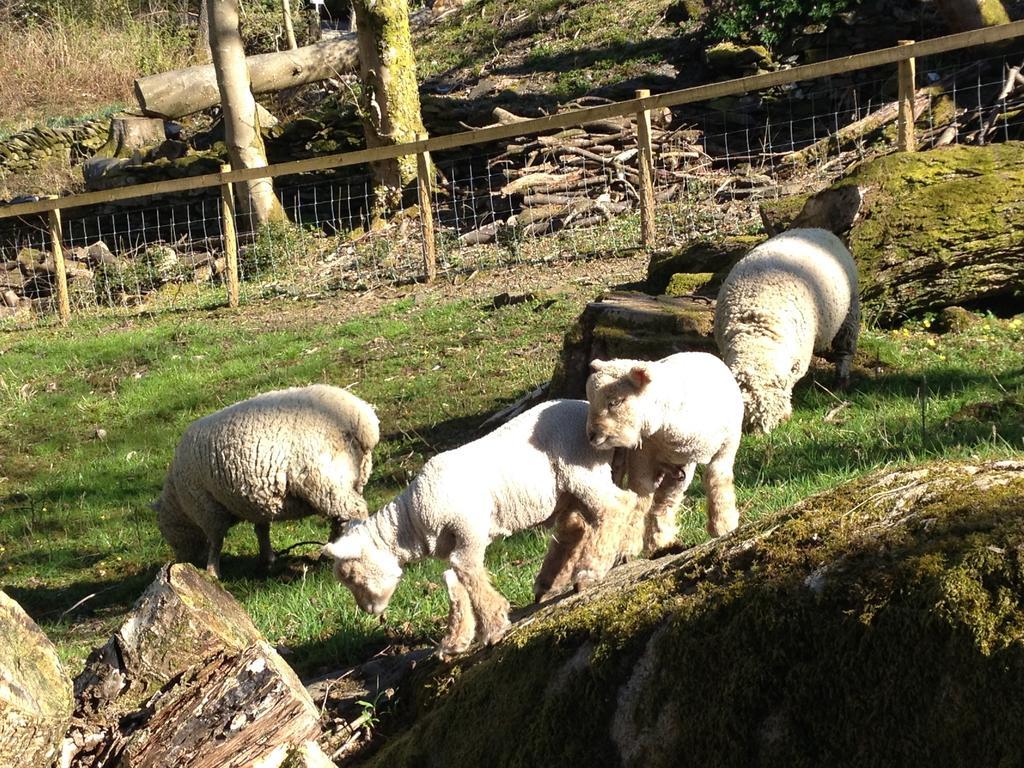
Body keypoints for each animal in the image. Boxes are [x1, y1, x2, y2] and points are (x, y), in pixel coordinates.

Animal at [151, 387, 376, 581]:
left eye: (164, 530)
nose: (181, 561)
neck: (179, 501)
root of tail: (363, 419)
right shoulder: (256, 501)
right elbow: (261, 530)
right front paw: (267, 559)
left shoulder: (208, 509)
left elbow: (216, 542)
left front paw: (212, 572)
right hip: (348, 481)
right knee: (340, 520)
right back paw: (328, 554)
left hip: (326, 479)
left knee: (354, 512)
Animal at [321, 399, 638, 659]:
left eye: (351, 576)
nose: (369, 611)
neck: (411, 522)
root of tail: (589, 410)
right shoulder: (454, 540)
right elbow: (454, 580)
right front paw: (455, 642)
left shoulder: (468, 527)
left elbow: (467, 572)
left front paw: (494, 627)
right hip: (568, 490)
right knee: (582, 523)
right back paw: (558, 579)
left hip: (580, 468)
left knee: (615, 506)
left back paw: (591, 570)